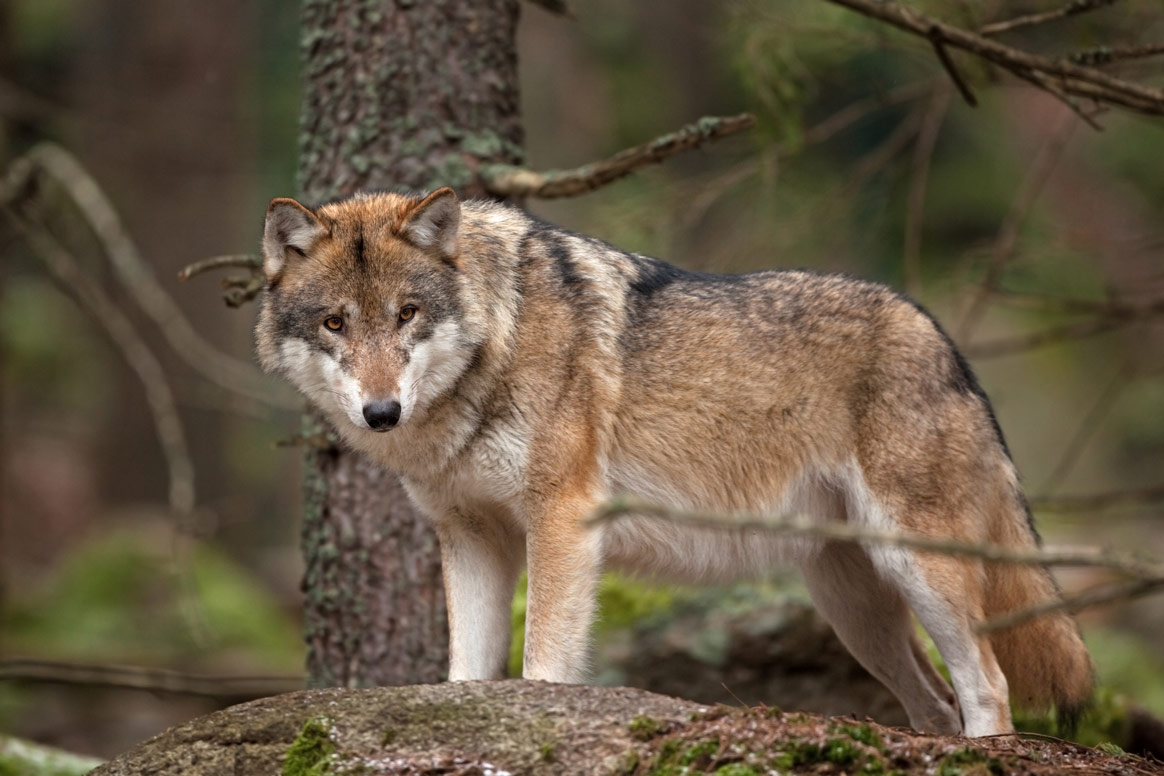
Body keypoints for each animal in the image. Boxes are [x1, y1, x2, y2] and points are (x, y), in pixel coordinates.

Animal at [254, 184, 1089, 739]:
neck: (496, 344)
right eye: (335, 324)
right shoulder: (470, 537)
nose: (381, 412)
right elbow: (468, 675)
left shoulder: (562, 519)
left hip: (918, 569)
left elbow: (543, 665)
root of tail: (944, 340)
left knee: (989, 688)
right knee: (935, 708)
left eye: (407, 314)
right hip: (856, 613)